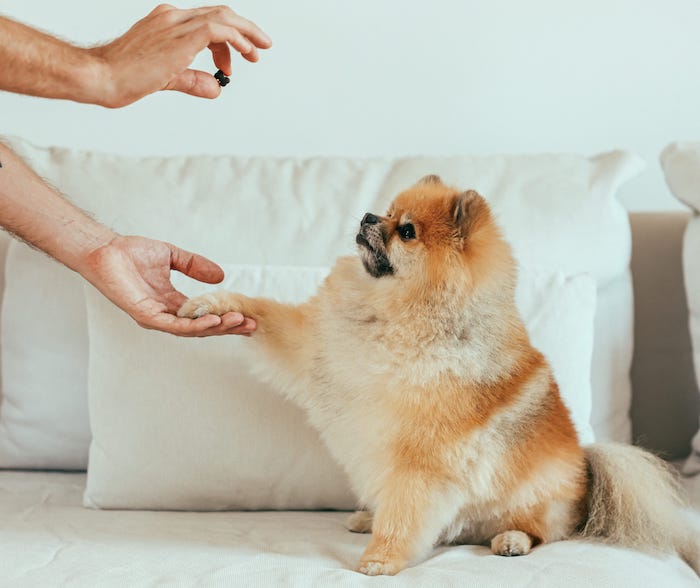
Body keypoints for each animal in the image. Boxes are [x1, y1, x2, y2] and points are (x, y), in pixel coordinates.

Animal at [178, 173, 696, 576]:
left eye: (406, 231)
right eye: (388, 212)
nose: (367, 217)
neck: (393, 314)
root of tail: (587, 470)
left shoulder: (422, 458)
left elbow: (405, 513)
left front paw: (382, 559)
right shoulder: (313, 346)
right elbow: (263, 312)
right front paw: (213, 304)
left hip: (537, 498)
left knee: (544, 531)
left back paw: (511, 540)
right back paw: (368, 516)